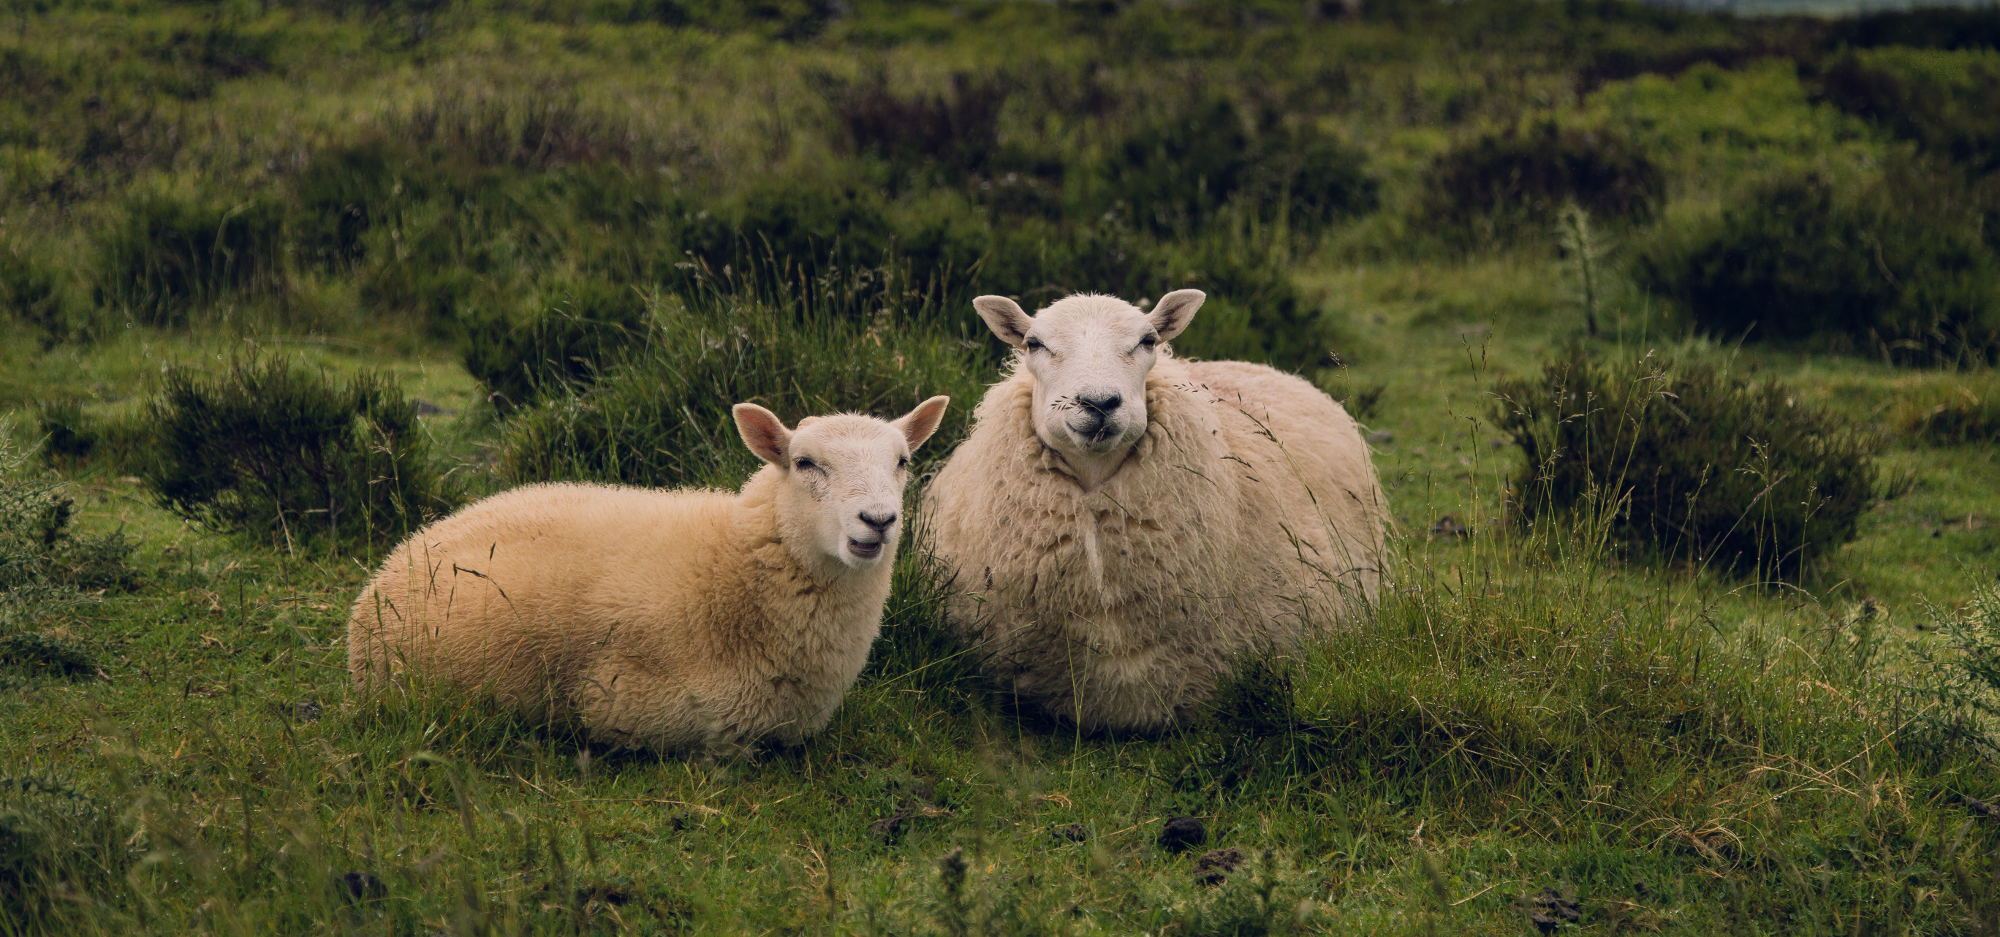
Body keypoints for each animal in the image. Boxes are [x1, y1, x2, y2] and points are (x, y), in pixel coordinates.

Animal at [347, 396, 951, 753]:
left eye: (902, 462)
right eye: (804, 464)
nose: (878, 520)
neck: (733, 569)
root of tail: (401, 555)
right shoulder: (636, 709)